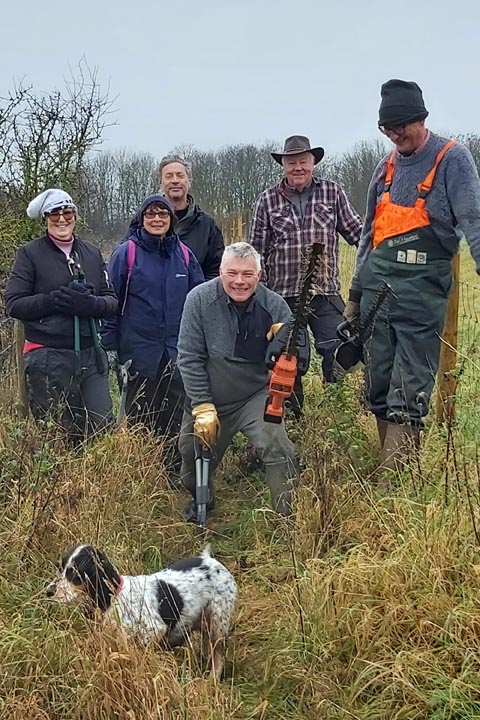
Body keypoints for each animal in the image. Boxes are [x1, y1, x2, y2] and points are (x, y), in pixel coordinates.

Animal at [46, 543, 237, 679]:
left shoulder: (154, 631)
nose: (48, 591)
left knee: (218, 656)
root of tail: (210, 560)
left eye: (75, 573)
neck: (115, 597)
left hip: (218, 623)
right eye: (61, 568)